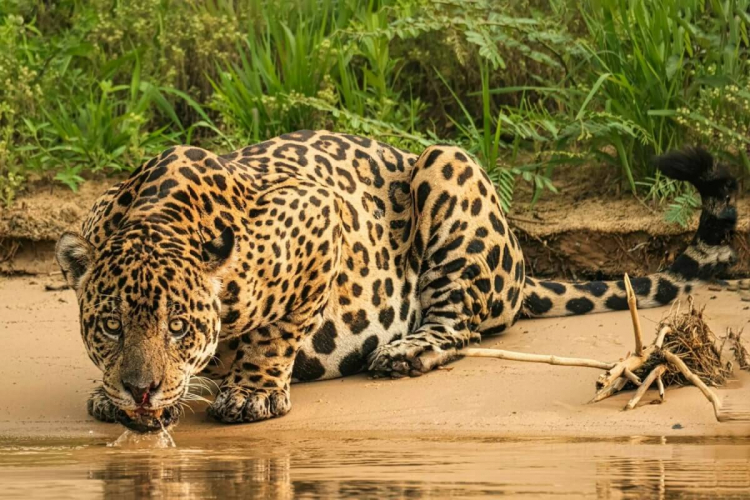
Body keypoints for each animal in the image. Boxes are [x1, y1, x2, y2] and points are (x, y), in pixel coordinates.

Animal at [55, 130, 738, 432]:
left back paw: (404, 351)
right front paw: (111, 394)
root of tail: (521, 266)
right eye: (110, 326)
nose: (141, 391)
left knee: (459, 325)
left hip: (448, 167)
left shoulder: (317, 213)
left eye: (178, 327)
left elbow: (277, 332)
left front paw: (251, 393)